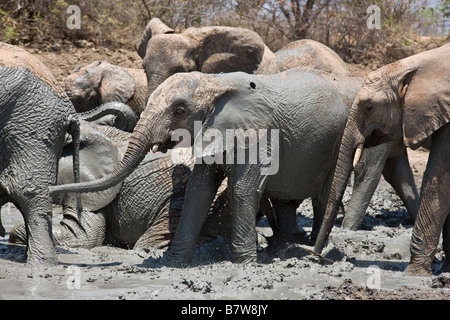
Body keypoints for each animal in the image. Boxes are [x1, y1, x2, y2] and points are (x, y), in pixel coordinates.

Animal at [312, 43, 450, 276]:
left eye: (368, 108)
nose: (316, 256)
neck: (414, 65)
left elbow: (437, 178)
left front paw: (414, 274)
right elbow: (398, 174)